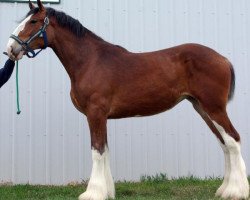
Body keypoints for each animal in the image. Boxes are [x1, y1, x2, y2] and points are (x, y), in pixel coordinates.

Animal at [5, 0, 248, 199]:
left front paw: (93, 193)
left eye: (33, 21)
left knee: (233, 140)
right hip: (202, 108)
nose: (10, 49)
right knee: (224, 144)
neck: (90, 61)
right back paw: (224, 190)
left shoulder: (95, 113)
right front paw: (107, 192)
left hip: (214, 108)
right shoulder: (101, 117)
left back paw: (236, 192)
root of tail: (222, 59)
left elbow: (97, 151)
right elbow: (105, 151)